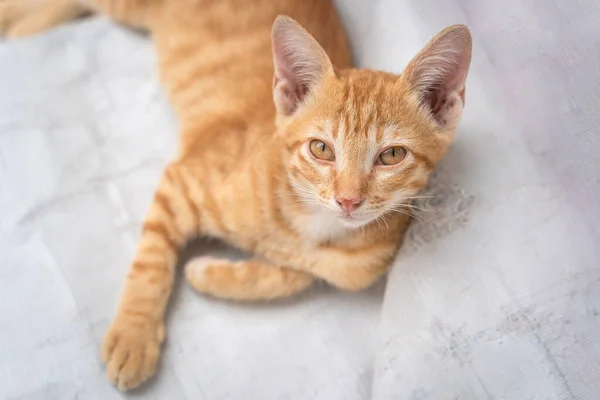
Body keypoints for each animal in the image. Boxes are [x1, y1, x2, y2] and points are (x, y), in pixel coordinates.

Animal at [0, 0, 472, 390]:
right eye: (321, 149)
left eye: (391, 155)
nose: (349, 200)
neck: (310, 222)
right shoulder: (182, 181)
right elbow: (152, 262)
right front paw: (134, 336)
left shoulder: (348, 269)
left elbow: (290, 277)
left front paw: (210, 273)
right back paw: (14, 19)